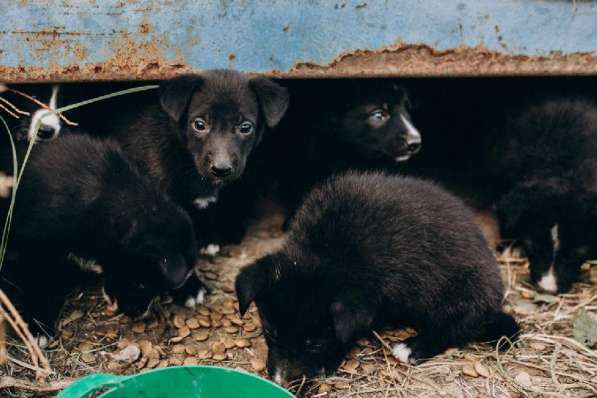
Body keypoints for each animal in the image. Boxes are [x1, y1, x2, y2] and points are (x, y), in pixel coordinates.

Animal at [0, 134, 205, 342]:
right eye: (141, 284)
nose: (137, 314)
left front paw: (191, 286)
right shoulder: (38, 243)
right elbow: (40, 282)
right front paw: (37, 326)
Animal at [236, 171, 516, 386]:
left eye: (315, 345)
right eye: (270, 333)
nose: (281, 382)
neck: (327, 250)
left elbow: (349, 332)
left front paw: (330, 360)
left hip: (461, 293)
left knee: (455, 328)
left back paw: (413, 347)